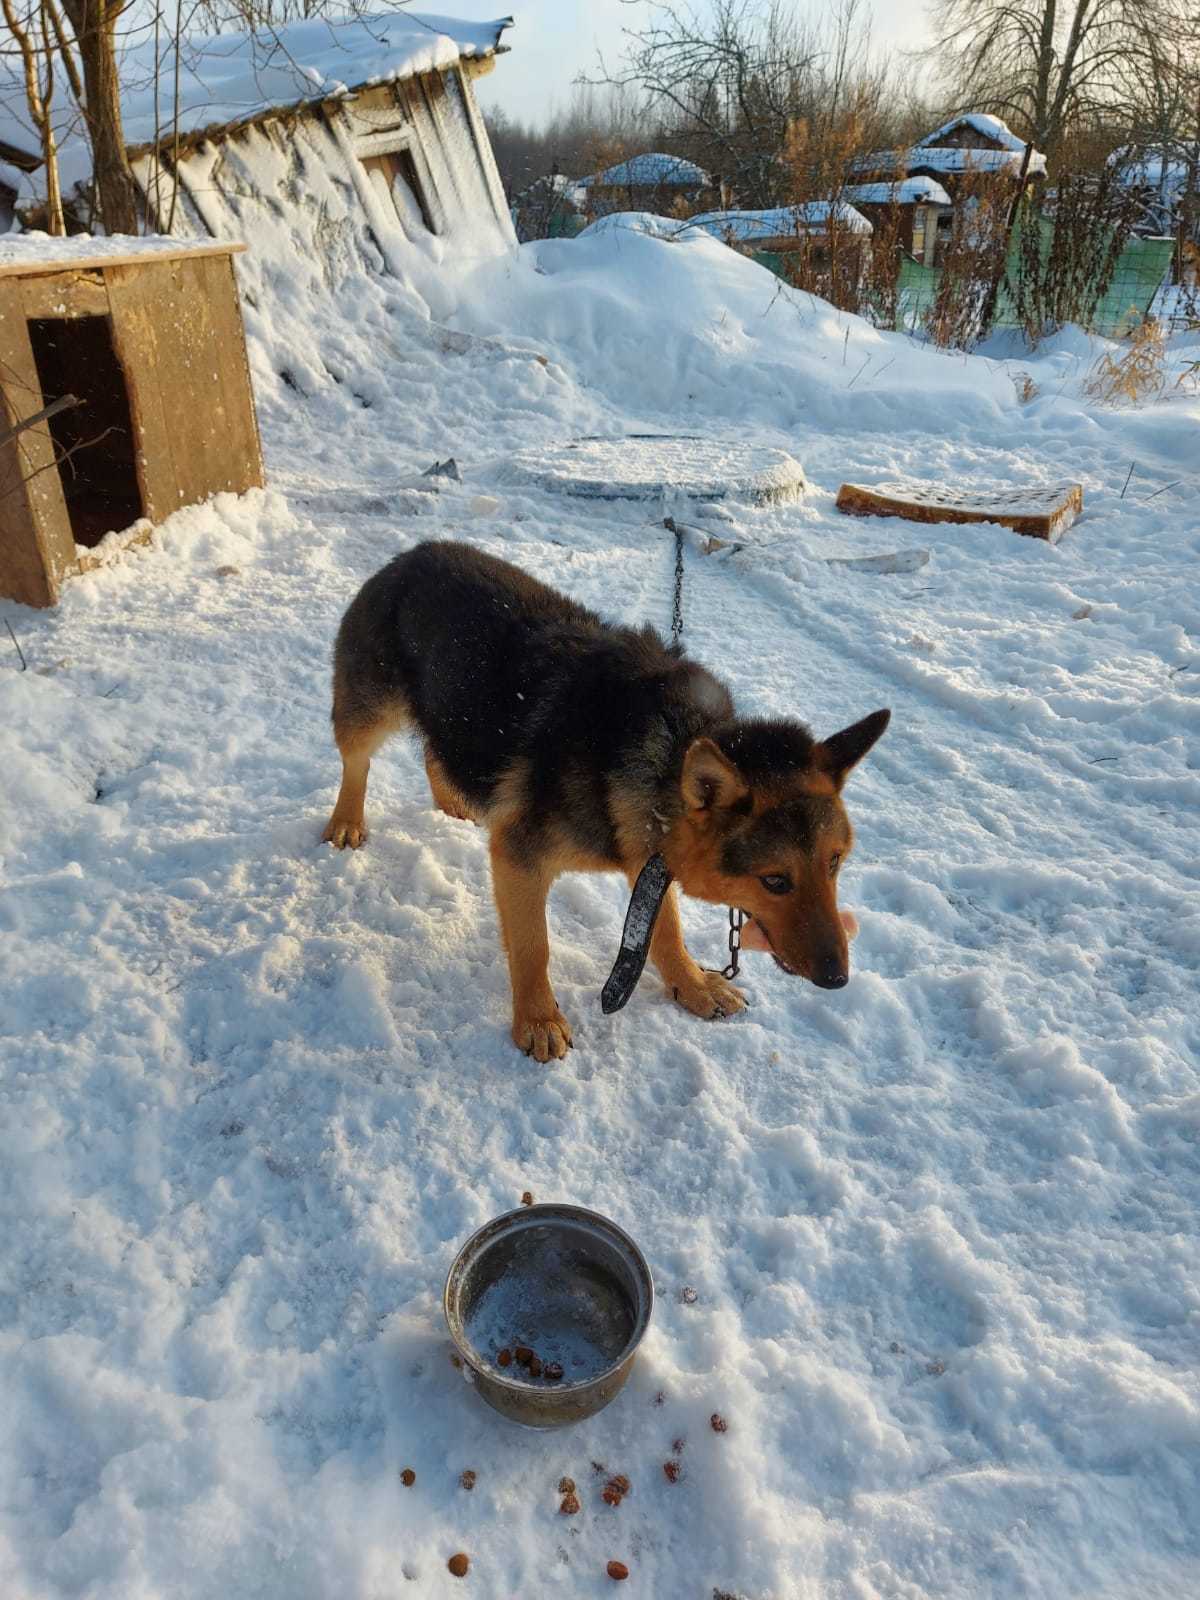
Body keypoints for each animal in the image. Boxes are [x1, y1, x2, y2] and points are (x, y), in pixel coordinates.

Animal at [324, 540, 889, 1062]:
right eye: (775, 881)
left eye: (835, 863)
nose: (837, 978)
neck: (671, 748)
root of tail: (415, 552)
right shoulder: (520, 858)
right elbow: (534, 947)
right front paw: (538, 1019)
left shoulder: (649, 861)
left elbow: (664, 932)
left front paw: (690, 983)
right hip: (370, 711)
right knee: (357, 762)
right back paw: (347, 822)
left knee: (434, 754)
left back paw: (454, 807)